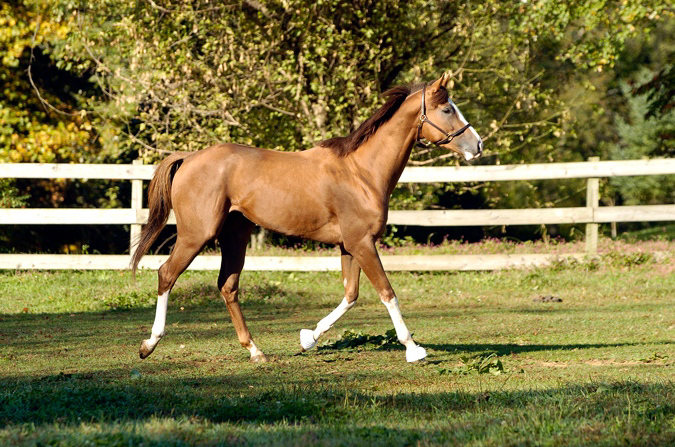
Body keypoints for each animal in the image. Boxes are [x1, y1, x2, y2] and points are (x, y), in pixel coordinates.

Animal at [131, 73, 480, 364]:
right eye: (447, 109)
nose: (477, 145)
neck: (362, 173)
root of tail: (188, 158)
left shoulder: (349, 246)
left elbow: (350, 295)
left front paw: (308, 338)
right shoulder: (362, 243)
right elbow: (387, 293)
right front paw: (413, 349)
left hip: (235, 235)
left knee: (228, 286)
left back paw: (255, 351)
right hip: (196, 235)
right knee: (166, 274)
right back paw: (149, 344)